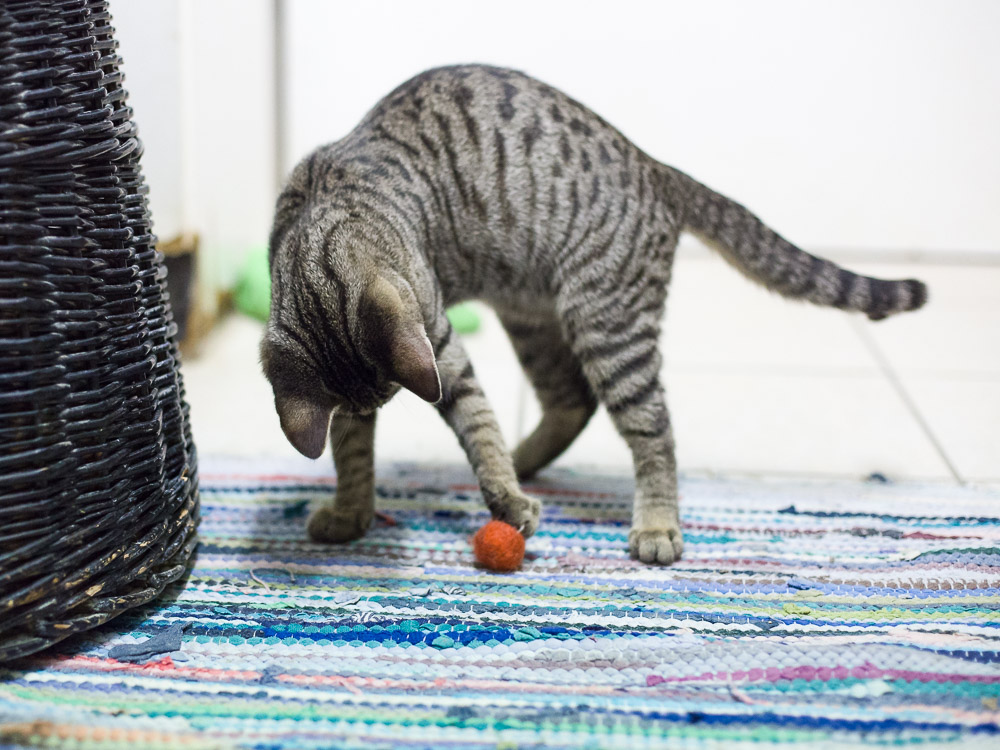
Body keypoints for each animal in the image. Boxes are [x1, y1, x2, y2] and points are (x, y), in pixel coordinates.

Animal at [260, 64, 928, 568]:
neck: (326, 212)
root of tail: (656, 168)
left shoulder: (438, 341)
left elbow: (476, 423)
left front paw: (505, 498)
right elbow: (353, 454)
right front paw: (352, 513)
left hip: (606, 324)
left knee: (654, 430)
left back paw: (653, 523)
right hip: (536, 321)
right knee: (572, 401)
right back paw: (528, 461)